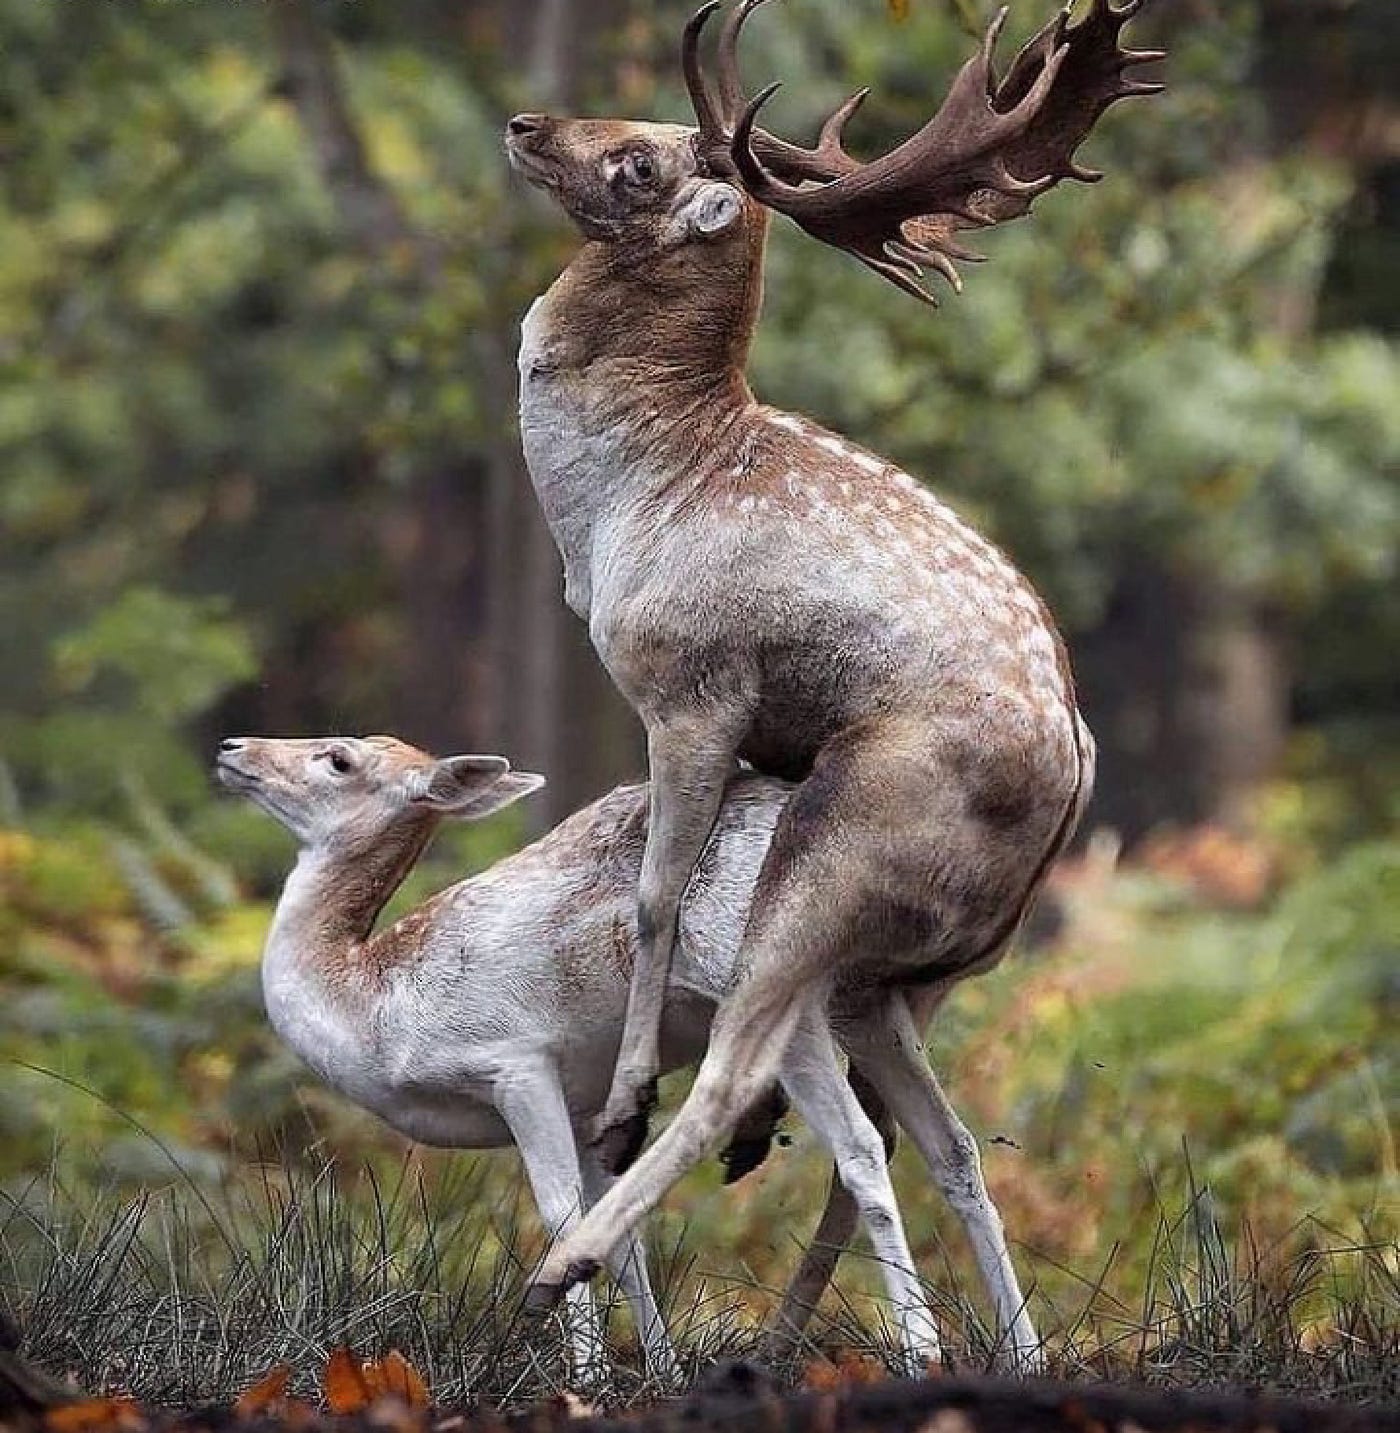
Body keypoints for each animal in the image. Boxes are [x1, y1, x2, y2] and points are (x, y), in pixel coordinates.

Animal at [214, 733, 1038, 1378]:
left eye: (339, 758)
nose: (234, 748)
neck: (376, 1009)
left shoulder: (516, 1061)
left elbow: (559, 1213)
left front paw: (587, 1380)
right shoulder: (589, 1106)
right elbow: (622, 1230)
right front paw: (661, 1372)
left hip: (782, 988)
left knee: (860, 1145)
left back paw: (922, 1353)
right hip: (869, 1003)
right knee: (953, 1146)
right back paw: (1024, 1354)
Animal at [504, 0, 1159, 1357]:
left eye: (639, 162)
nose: (526, 123)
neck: (621, 505)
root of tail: (1076, 777)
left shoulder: (690, 692)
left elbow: (653, 892)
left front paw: (619, 1102)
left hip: (832, 856)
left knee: (743, 1068)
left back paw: (572, 1256)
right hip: (924, 968)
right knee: (929, 1133)